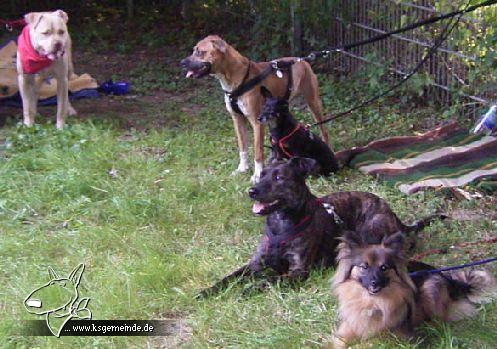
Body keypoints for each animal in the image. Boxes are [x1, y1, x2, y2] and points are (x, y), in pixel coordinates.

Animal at [181, 35, 330, 182]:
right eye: (194, 50)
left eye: (200, 52)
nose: (182, 63)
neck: (236, 78)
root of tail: (302, 60)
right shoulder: (237, 120)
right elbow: (242, 147)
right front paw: (242, 168)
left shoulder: (257, 123)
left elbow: (258, 151)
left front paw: (257, 174)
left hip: (313, 102)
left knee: (324, 131)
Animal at [198, 158, 442, 296]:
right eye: (261, 175)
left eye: (279, 177)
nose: (252, 191)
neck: (280, 226)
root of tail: (390, 210)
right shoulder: (255, 264)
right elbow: (228, 277)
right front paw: (207, 291)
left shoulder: (298, 272)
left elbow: (271, 279)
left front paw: (249, 289)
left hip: (370, 228)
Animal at [328, 231, 494, 348]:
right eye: (364, 267)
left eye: (384, 268)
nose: (374, 283)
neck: (372, 302)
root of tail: (453, 282)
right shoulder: (344, 332)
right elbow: (339, 341)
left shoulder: (397, 338)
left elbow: (370, 343)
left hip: (431, 287)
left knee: (439, 320)